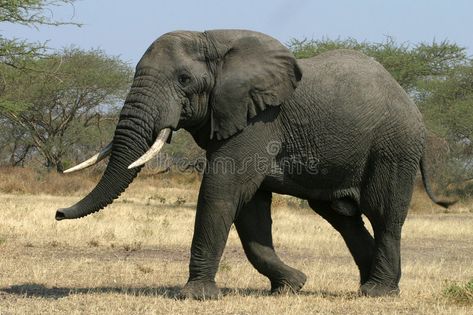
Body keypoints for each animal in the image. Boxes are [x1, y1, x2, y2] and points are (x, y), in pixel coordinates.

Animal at [56, 30, 450, 302]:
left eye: (184, 80)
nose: (58, 214)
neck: (212, 40)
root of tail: (410, 103)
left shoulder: (259, 119)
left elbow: (222, 190)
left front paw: (195, 297)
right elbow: (250, 210)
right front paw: (291, 286)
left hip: (393, 146)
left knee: (384, 214)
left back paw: (378, 293)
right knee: (342, 217)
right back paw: (366, 284)